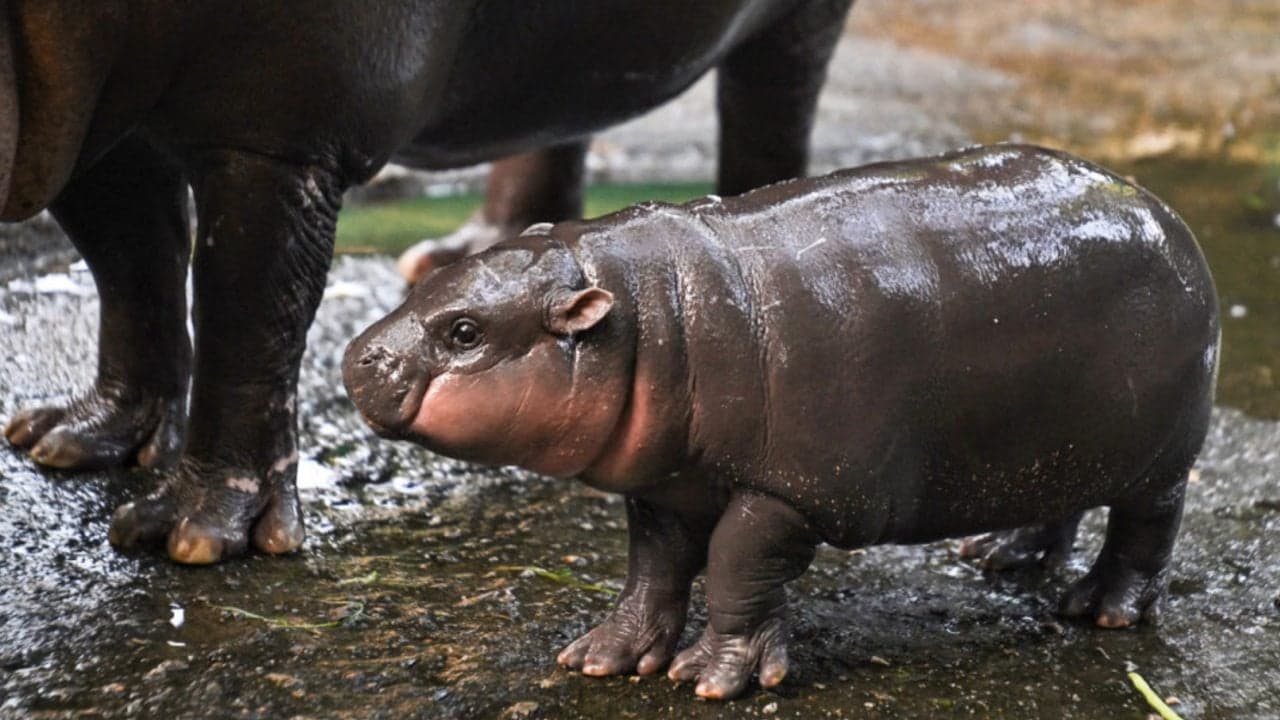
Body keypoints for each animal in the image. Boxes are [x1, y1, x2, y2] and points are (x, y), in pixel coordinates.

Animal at [0, 0, 855, 564]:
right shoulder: (88, 116)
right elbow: (133, 269)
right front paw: (71, 441)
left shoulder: (279, 134)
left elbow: (245, 316)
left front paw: (191, 536)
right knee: (556, 112)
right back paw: (457, 258)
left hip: (798, 21)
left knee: (771, 104)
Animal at [342, 144, 1220, 699]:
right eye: (437, 277)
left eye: (464, 332)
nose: (356, 357)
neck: (657, 318)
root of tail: (1161, 210)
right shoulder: (667, 485)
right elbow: (652, 568)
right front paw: (602, 657)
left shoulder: (792, 492)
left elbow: (734, 562)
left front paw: (709, 678)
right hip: (1057, 435)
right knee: (1060, 500)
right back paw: (999, 557)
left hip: (1161, 455)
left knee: (1148, 526)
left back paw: (1100, 610)